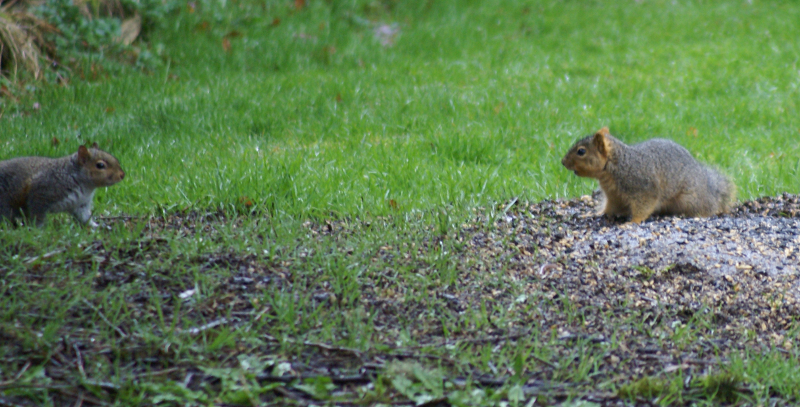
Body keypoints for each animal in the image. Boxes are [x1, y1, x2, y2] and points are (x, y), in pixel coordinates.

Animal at [561, 127, 735, 223]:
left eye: (581, 151)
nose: (562, 162)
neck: (617, 165)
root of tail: (710, 190)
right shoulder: (614, 196)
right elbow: (610, 208)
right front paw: (594, 213)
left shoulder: (643, 188)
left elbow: (644, 207)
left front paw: (632, 222)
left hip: (690, 200)